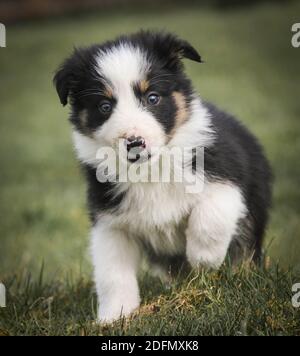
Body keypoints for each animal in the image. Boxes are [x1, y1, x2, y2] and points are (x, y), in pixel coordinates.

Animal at [54, 30, 272, 322]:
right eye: (104, 106)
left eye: (152, 98)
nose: (135, 142)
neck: (150, 170)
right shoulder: (110, 221)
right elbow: (112, 273)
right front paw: (114, 317)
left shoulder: (227, 176)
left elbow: (210, 216)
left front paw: (205, 259)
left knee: (245, 250)